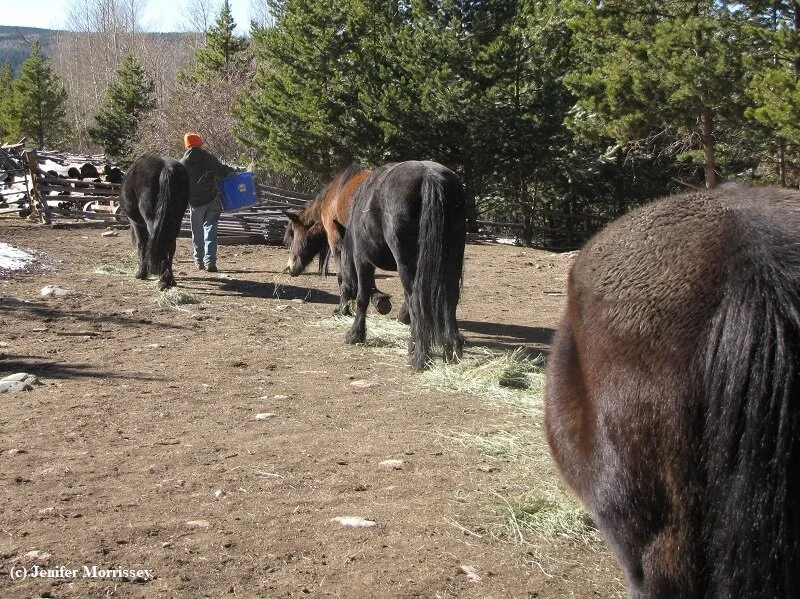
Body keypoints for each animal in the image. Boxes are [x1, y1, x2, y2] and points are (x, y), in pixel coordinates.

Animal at [119, 155, 190, 290]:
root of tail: (167, 167)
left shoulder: (136, 224)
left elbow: (142, 244)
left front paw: (141, 273)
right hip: (175, 221)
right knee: (170, 245)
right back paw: (169, 279)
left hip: (151, 220)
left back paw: (163, 280)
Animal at [284, 164, 393, 317]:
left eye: (293, 234)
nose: (290, 267)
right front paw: (377, 298)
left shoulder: (337, 243)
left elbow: (343, 275)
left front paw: (343, 309)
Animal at [335, 160, 467, 371]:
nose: (340, 310)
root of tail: (430, 176)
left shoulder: (362, 260)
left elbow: (363, 297)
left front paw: (355, 334)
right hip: (451, 260)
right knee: (449, 300)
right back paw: (451, 350)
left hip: (405, 262)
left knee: (416, 300)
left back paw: (419, 356)